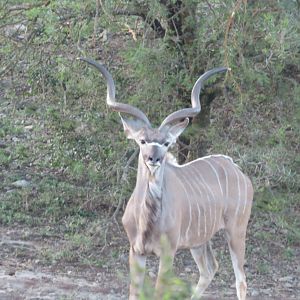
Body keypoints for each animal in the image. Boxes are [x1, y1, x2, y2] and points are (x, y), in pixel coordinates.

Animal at [78, 57, 252, 298]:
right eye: (142, 141)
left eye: (167, 143)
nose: (154, 158)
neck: (147, 220)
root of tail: (237, 170)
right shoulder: (136, 250)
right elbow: (135, 292)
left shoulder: (168, 252)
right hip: (199, 241)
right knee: (210, 268)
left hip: (236, 231)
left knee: (240, 280)